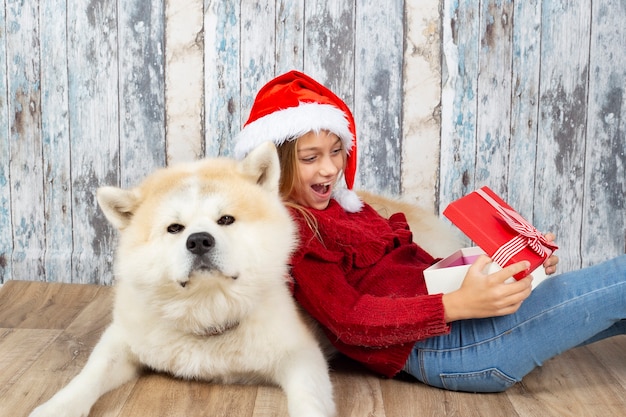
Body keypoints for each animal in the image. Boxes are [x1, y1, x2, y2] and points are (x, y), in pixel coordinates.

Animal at [30, 142, 336, 416]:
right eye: (175, 228)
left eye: (226, 219)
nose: (199, 240)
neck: (207, 312)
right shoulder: (122, 338)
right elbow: (88, 376)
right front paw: (57, 407)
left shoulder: (301, 354)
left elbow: (310, 398)